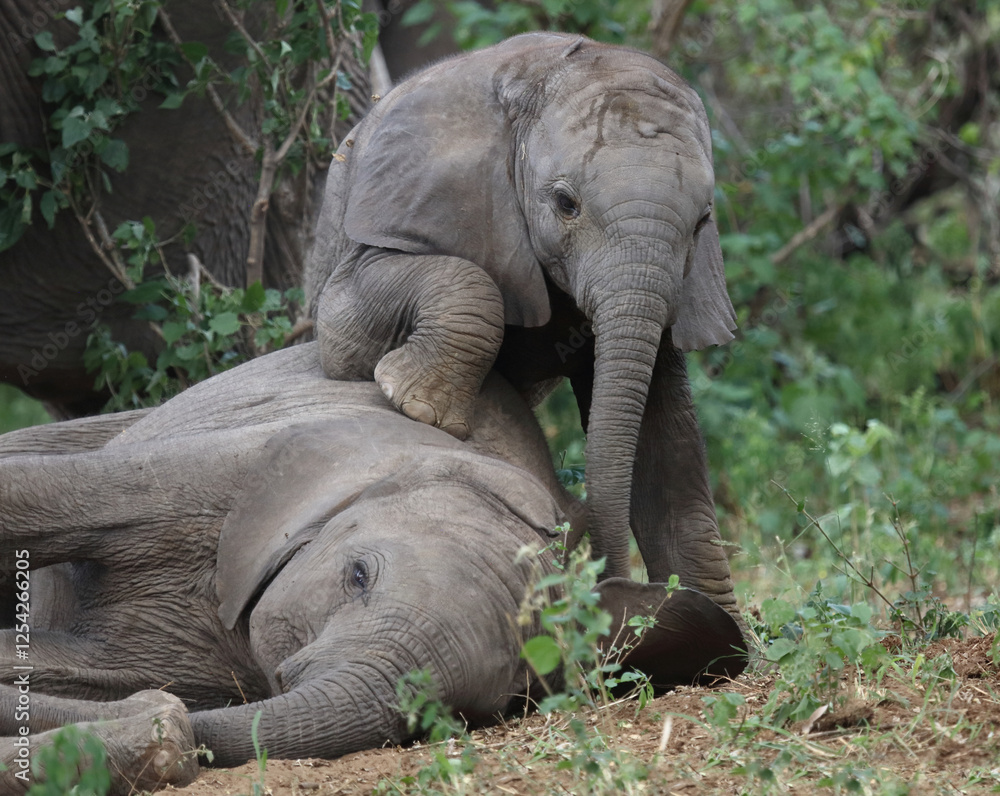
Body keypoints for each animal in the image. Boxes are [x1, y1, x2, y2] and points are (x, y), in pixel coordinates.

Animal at [305, 32, 741, 622]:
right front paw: (420, 409)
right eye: (565, 204)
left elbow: (664, 442)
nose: (609, 585)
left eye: (702, 222)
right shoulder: (415, 204)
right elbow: (344, 331)